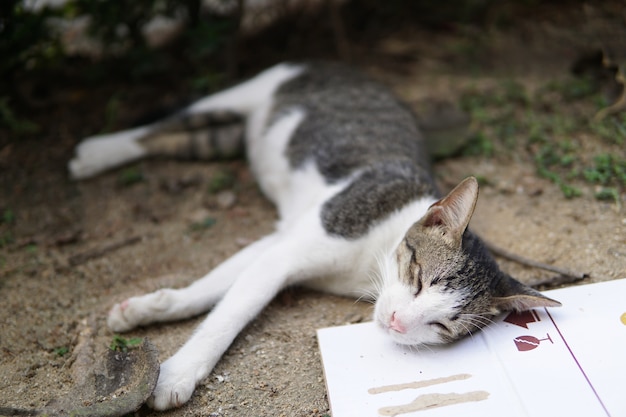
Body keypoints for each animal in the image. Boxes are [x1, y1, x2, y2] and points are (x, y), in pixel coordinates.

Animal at [69, 62, 560, 410]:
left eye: (442, 326)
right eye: (420, 279)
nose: (399, 323)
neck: (370, 261)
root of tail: (352, 67)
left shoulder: (278, 242)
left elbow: (215, 287)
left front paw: (148, 309)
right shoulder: (301, 241)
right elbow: (229, 314)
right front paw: (178, 373)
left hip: (227, 137)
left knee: (180, 140)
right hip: (251, 88)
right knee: (166, 123)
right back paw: (96, 151)